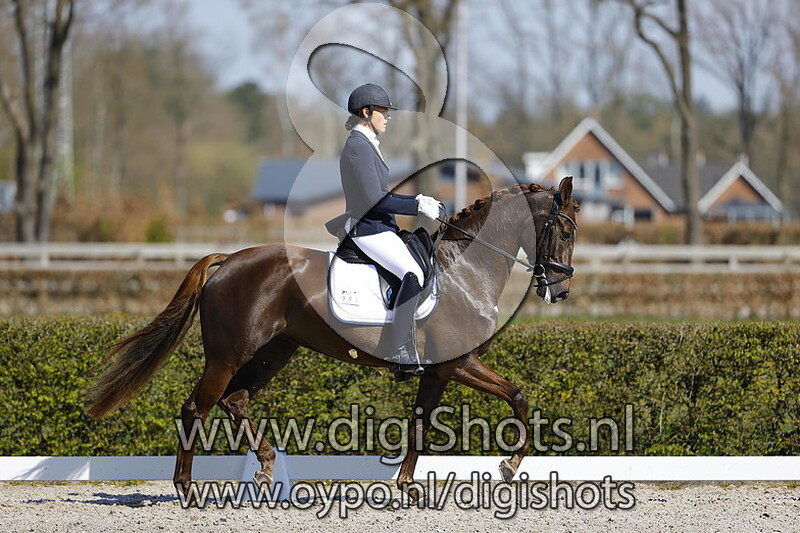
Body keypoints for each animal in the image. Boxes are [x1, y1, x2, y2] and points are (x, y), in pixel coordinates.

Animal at [86, 177, 579, 502]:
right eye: (565, 230)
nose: (560, 290)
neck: (465, 270)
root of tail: (228, 261)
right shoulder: (457, 364)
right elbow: (518, 396)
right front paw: (508, 466)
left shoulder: (438, 372)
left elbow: (420, 425)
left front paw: (407, 487)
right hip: (227, 356)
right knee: (197, 408)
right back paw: (186, 488)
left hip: (275, 352)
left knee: (235, 400)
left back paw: (265, 469)